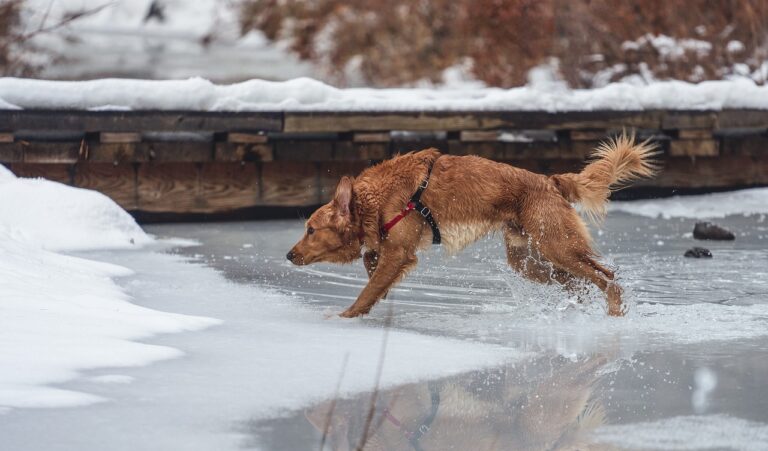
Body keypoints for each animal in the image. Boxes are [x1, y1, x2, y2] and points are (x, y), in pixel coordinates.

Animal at [284, 134, 656, 318]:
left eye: (311, 230)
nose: (288, 255)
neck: (377, 197)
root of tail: (549, 181)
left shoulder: (400, 252)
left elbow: (368, 290)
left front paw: (347, 316)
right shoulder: (390, 249)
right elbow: (371, 266)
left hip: (559, 247)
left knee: (608, 278)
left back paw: (614, 315)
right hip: (527, 261)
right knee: (579, 283)